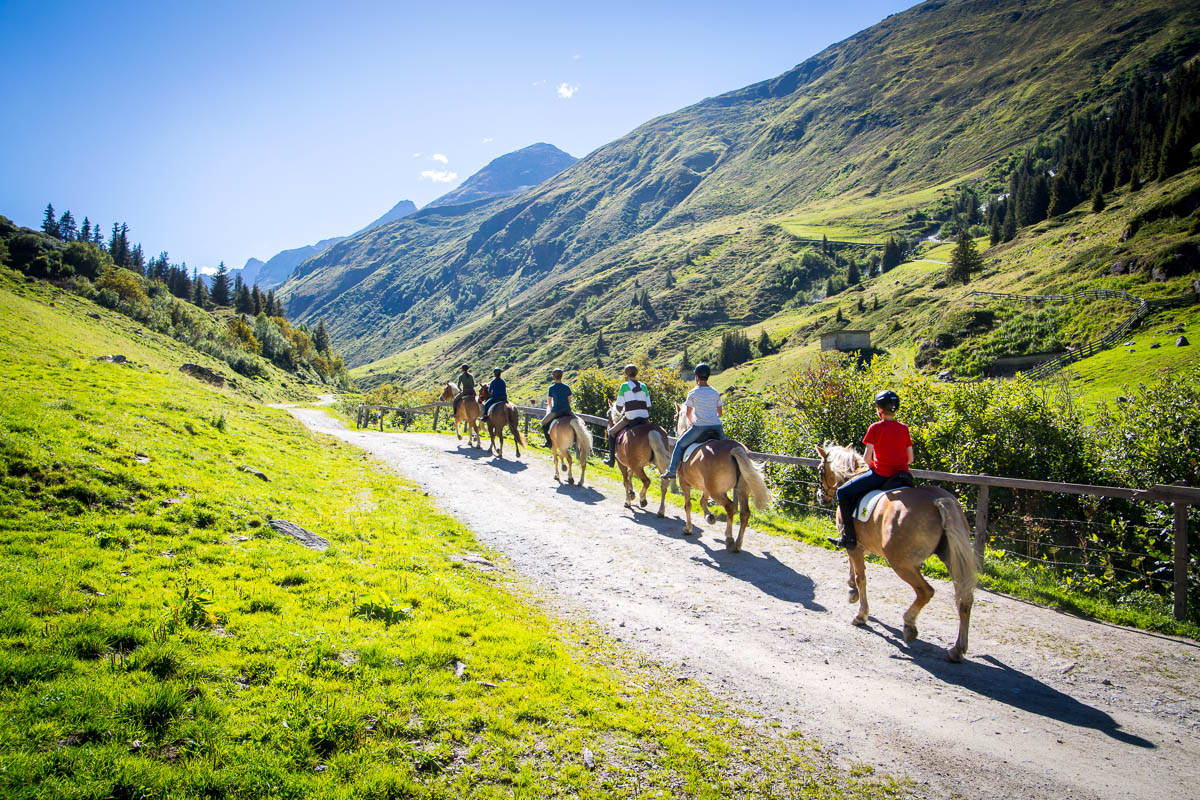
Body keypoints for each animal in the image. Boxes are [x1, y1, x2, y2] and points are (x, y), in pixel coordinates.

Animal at [672, 403, 773, 551]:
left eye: (676, 417)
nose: (675, 432)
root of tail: (734, 449)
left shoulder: (684, 483)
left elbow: (688, 505)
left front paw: (688, 529)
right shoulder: (707, 487)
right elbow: (702, 500)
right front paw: (709, 517)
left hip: (717, 492)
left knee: (730, 506)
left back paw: (729, 538)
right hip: (740, 490)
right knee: (744, 513)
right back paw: (738, 543)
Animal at [815, 444, 977, 662]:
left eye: (820, 470)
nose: (820, 496)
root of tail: (937, 500)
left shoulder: (854, 544)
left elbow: (860, 577)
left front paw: (861, 613)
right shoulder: (859, 544)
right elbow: (853, 569)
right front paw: (852, 592)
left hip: (902, 563)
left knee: (926, 591)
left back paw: (909, 625)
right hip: (951, 558)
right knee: (964, 598)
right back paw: (957, 649)